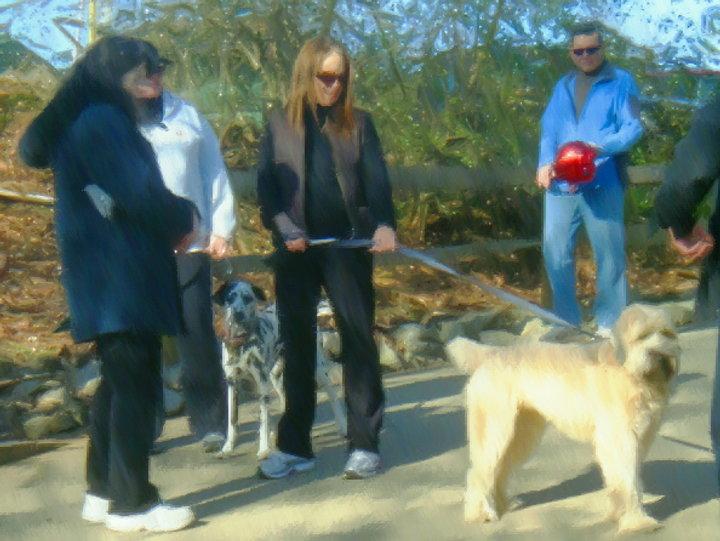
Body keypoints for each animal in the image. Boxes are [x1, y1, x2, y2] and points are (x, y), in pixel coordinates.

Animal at [213, 280, 347, 458]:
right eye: (230, 297)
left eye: (248, 298)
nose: (238, 313)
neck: (242, 344)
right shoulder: (232, 384)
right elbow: (232, 421)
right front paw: (228, 447)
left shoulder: (262, 385)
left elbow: (263, 420)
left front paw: (264, 449)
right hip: (276, 377)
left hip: (318, 371)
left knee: (333, 397)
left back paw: (343, 426)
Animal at [446, 304, 681, 534]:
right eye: (642, 336)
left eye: (666, 333)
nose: (660, 355)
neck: (626, 369)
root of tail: (492, 354)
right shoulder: (620, 438)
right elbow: (628, 480)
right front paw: (638, 522)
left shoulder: (640, 436)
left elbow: (623, 479)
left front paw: (619, 513)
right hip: (495, 429)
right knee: (478, 472)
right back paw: (479, 513)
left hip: (522, 432)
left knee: (499, 469)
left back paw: (502, 504)